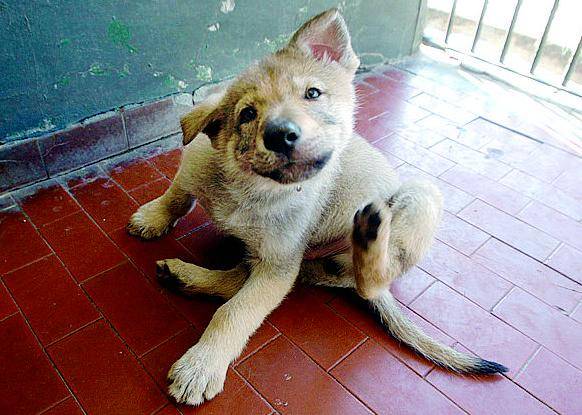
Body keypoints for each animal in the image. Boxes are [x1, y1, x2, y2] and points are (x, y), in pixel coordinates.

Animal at [130, 8, 508, 406]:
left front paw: (202, 365)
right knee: (243, 277)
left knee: (366, 283)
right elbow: (177, 195)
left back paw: (370, 235)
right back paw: (186, 276)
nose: (281, 134)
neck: (249, 188)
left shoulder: (278, 264)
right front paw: (153, 217)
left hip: (419, 196)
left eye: (312, 93)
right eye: (246, 114)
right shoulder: (195, 164)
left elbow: (235, 312)